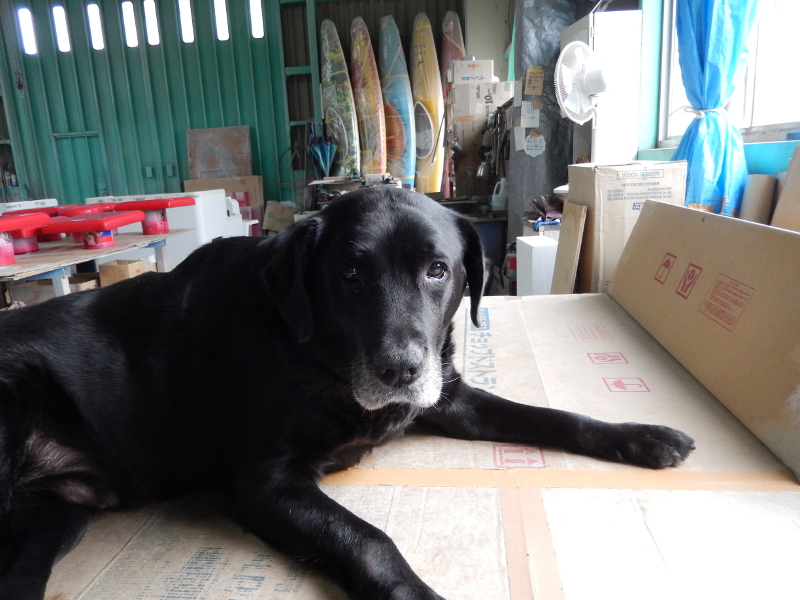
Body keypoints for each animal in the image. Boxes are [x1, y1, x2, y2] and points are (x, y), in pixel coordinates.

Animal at [0, 187, 694, 600]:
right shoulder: (265, 480)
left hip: (55, 518)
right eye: (349, 274)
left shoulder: (449, 397)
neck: (313, 353)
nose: (400, 370)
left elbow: (550, 415)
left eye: (437, 271)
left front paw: (642, 436)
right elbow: (368, 539)